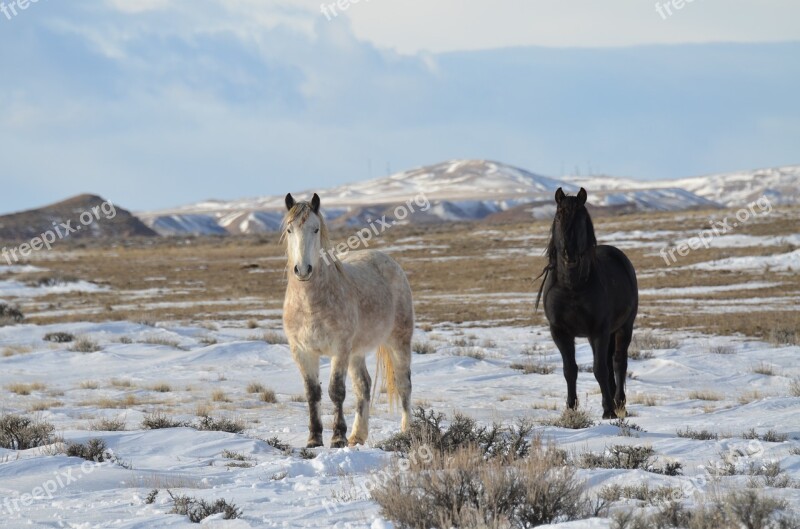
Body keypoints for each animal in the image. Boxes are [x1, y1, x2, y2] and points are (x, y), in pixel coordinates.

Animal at [280, 192, 412, 448]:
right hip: (357, 352)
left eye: (316, 229)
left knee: (404, 385)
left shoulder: (339, 350)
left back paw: (408, 431)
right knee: (363, 386)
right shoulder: (301, 351)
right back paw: (357, 436)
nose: (302, 270)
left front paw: (337, 437)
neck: (311, 305)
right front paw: (314, 438)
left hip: (399, 341)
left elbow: (336, 391)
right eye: (290, 230)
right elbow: (312, 393)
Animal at [536, 188, 640, 418]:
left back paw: (619, 402)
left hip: (624, 327)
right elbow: (570, 369)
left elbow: (599, 369)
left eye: (582, 218)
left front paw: (608, 411)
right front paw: (570, 408)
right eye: (559, 216)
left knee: (618, 362)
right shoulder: (560, 332)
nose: (570, 255)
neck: (572, 286)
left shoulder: (598, 331)